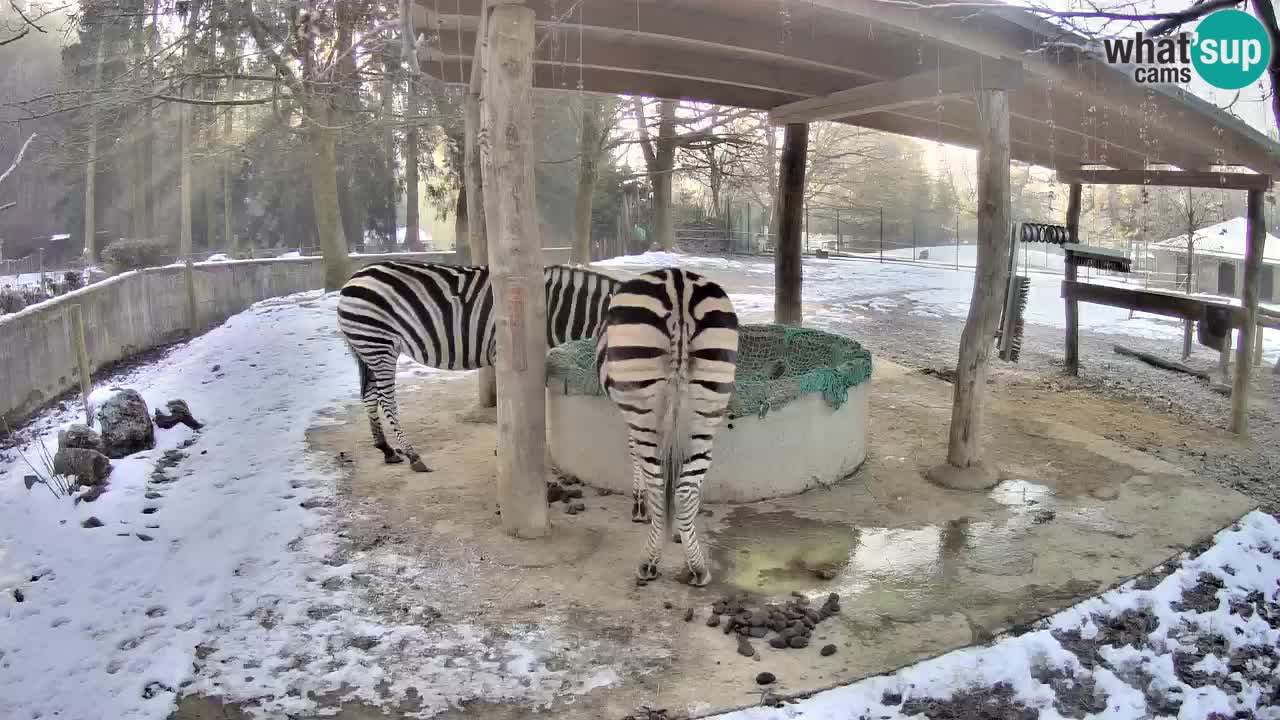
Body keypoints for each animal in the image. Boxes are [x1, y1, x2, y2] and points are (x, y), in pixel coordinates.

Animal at [337, 258, 622, 471]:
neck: (556, 311)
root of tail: (353, 278)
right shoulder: (512, 356)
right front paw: (509, 449)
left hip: (368, 348)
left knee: (369, 396)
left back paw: (386, 450)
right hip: (379, 344)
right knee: (386, 400)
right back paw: (413, 455)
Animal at [593, 266, 737, 586]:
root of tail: (679, 285)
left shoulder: (629, 413)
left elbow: (634, 455)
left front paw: (639, 506)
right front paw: (680, 531)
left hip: (645, 408)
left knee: (660, 486)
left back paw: (648, 562)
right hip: (706, 409)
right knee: (684, 491)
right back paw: (697, 565)